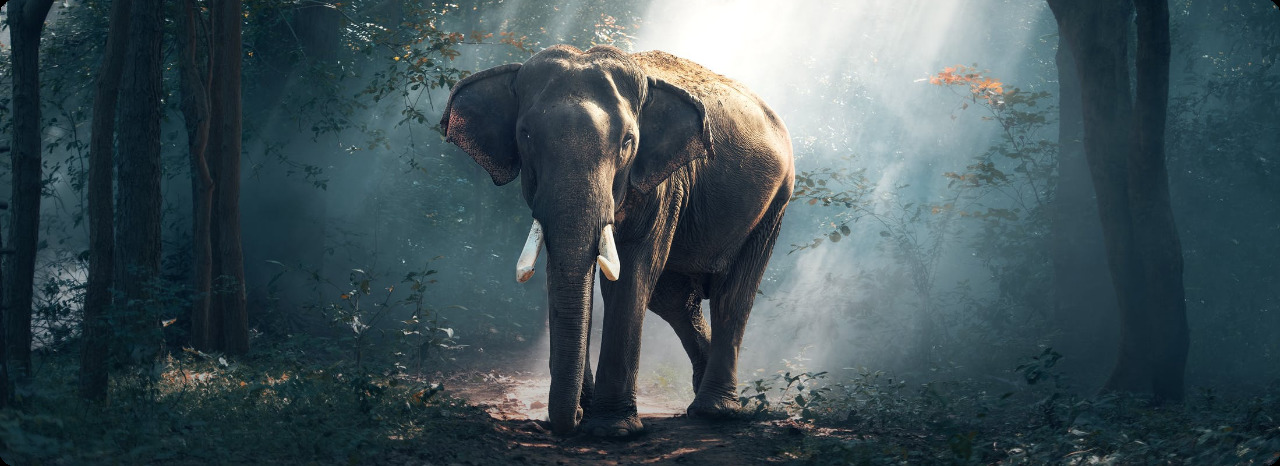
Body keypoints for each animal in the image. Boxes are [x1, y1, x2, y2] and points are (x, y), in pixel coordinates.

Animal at [440, 44, 794, 436]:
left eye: (628, 142)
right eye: (526, 135)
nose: (573, 418)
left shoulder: (664, 184)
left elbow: (631, 274)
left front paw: (613, 429)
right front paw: (588, 411)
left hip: (774, 204)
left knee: (732, 296)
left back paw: (714, 411)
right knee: (674, 300)